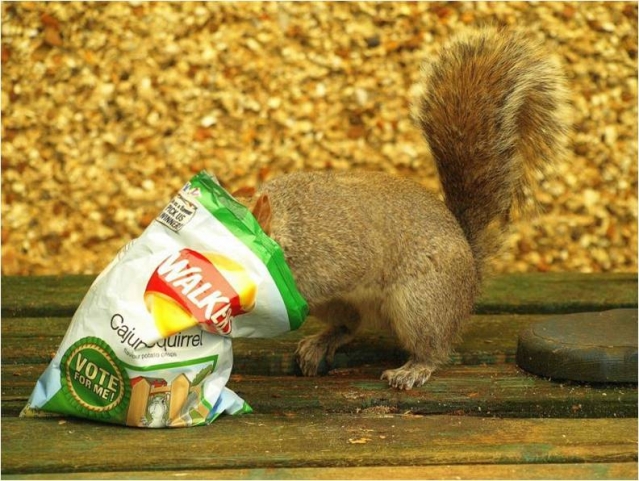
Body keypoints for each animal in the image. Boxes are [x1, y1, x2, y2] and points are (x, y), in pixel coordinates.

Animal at [240, 27, 571, 390]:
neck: (289, 226)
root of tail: (470, 278)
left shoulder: (336, 252)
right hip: (343, 306)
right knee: (349, 324)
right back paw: (320, 343)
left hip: (420, 303)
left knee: (433, 348)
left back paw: (414, 369)